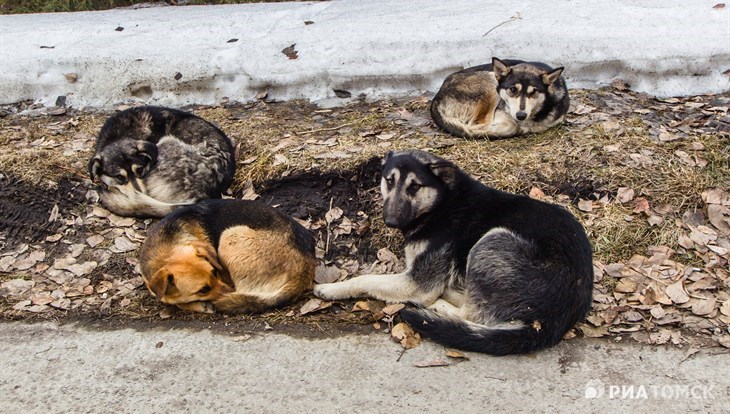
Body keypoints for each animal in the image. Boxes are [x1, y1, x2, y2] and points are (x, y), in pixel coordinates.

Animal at [88, 105, 236, 218]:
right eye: (119, 177)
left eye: (140, 170)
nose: (139, 195)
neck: (119, 135)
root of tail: (203, 192)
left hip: (166, 141)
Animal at [139, 200, 316, 314]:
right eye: (203, 289)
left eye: (214, 272)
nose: (229, 289)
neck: (163, 252)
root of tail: (305, 267)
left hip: (230, 235)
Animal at [312, 150, 592, 354]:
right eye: (389, 181)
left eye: (415, 187)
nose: (390, 221)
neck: (442, 202)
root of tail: (558, 316)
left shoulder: (417, 283)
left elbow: (366, 279)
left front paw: (332, 288)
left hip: (492, 240)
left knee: (471, 313)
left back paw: (439, 306)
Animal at [430, 57, 564, 140]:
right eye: (513, 89)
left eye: (534, 91)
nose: (521, 115)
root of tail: (436, 98)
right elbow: (512, 124)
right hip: (492, 81)